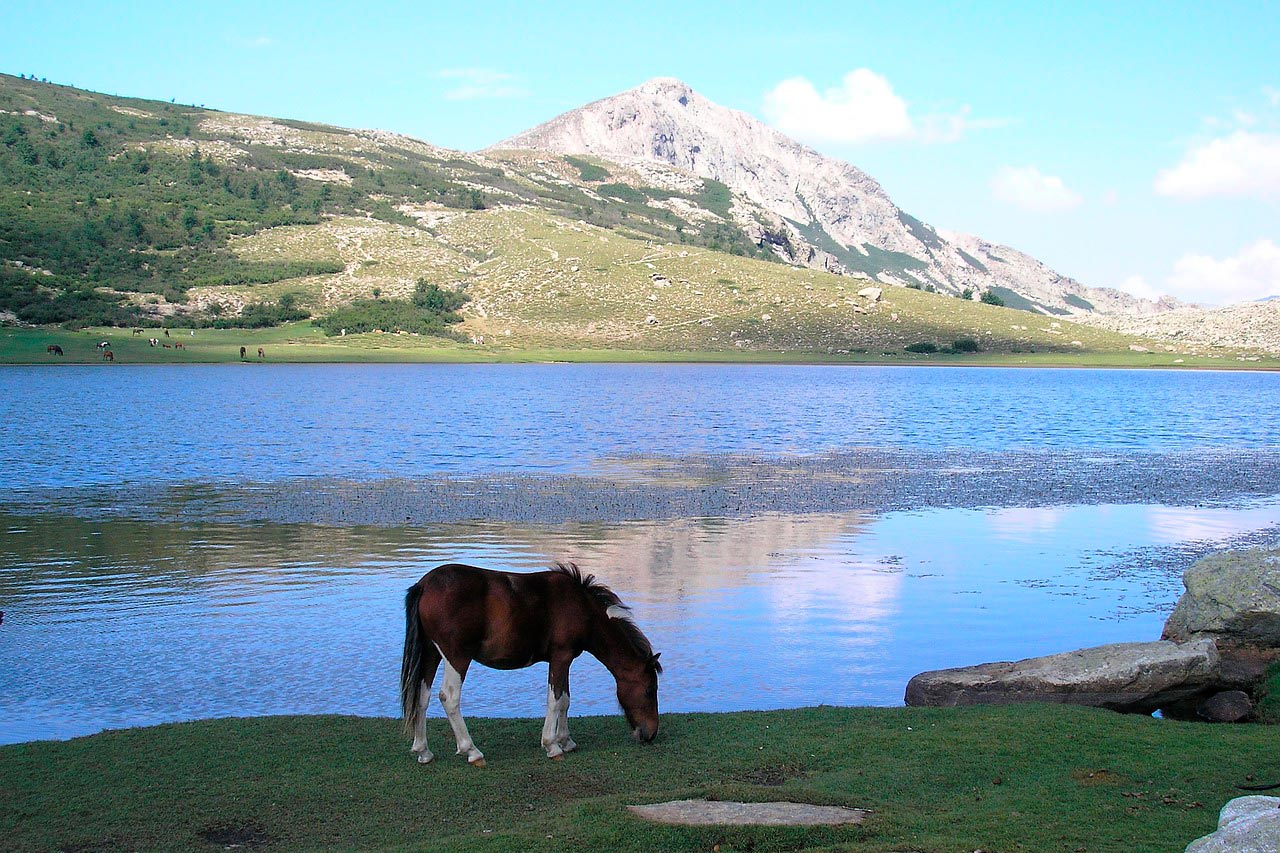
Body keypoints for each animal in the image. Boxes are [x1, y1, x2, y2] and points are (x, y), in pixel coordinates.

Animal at [396, 558, 660, 763]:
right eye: (649, 690)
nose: (650, 734)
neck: (581, 607)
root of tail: (424, 585)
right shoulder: (561, 657)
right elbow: (555, 699)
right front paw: (552, 745)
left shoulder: (564, 660)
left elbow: (565, 699)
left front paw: (566, 740)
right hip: (457, 656)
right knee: (449, 697)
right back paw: (471, 750)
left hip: (431, 653)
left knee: (422, 696)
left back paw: (423, 751)